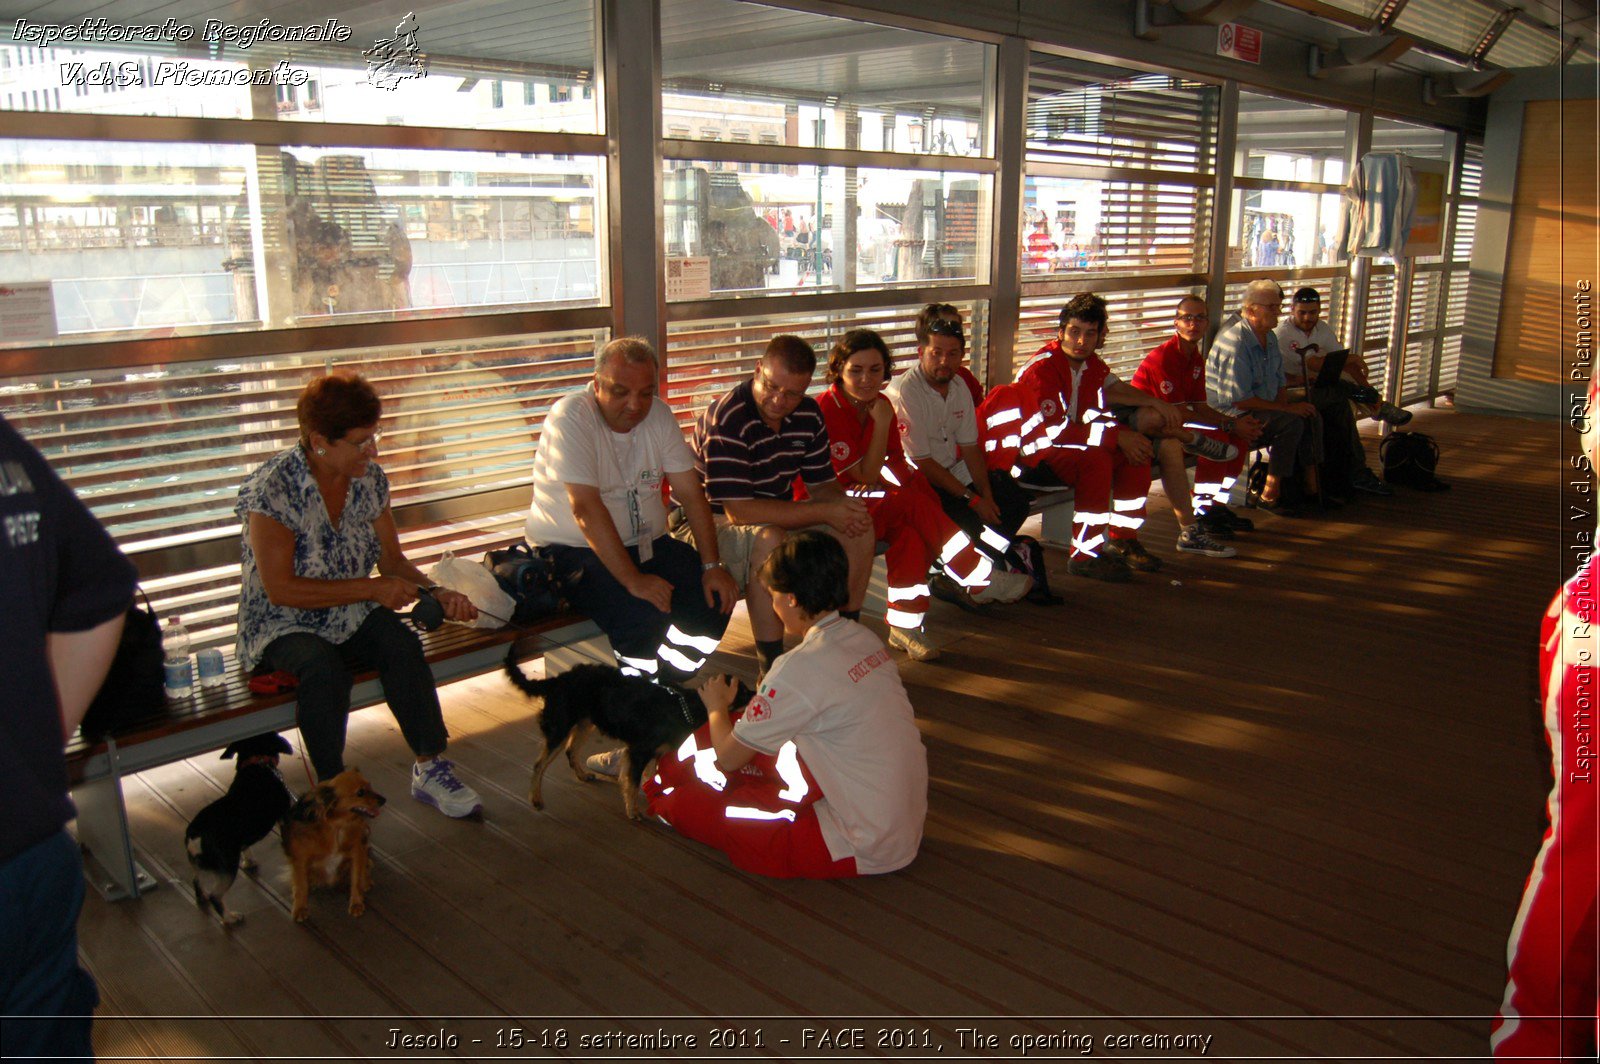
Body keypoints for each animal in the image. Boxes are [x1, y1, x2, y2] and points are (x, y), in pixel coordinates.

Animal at [184, 729, 294, 921]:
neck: (257, 763)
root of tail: (195, 835)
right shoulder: (284, 816)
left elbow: (246, 847)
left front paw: (249, 861)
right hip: (228, 868)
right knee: (216, 896)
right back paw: (230, 918)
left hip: (199, 865)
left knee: (196, 881)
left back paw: (202, 897)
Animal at [278, 764, 384, 921]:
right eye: (360, 792)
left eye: (370, 786)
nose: (384, 800)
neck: (336, 826)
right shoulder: (300, 859)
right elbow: (301, 885)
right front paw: (300, 908)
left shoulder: (356, 852)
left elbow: (355, 879)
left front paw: (356, 903)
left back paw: (366, 881)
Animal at [502, 652, 752, 816]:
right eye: (742, 693)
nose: (755, 694)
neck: (683, 706)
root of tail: (556, 680)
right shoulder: (639, 751)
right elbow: (632, 782)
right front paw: (633, 811)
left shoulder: (653, 754)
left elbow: (650, 776)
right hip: (560, 727)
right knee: (539, 764)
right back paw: (536, 799)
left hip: (585, 723)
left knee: (571, 751)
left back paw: (583, 776)